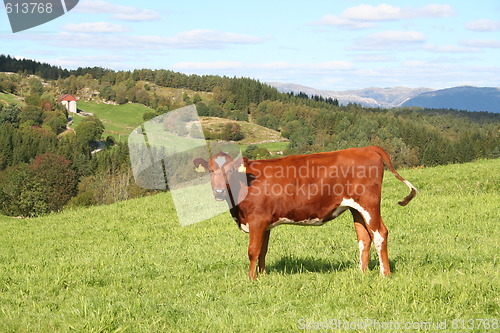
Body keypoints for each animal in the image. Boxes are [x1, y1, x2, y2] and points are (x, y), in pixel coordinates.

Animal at [193, 145, 416, 278]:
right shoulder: (266, 223)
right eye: (210, 170)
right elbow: (263, 250)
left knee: (380, 233)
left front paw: (251, 279)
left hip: (369, 204)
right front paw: (263, 276)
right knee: (364, 237)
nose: (218, 191)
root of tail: (367, 148)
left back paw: (385, 274)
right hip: (356, 209)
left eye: (230, 170)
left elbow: (252, 250)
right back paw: (362, 273)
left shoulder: (257, 219)